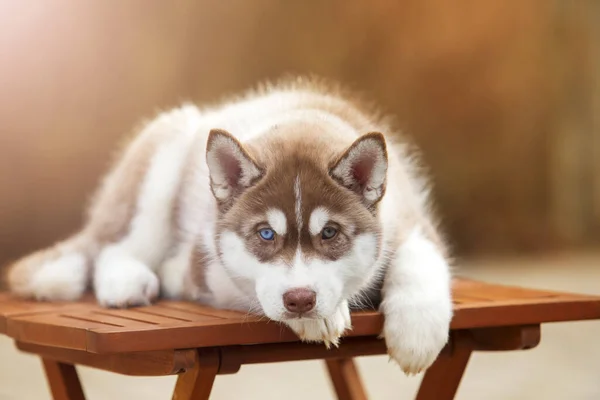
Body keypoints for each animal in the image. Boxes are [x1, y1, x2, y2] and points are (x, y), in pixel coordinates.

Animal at [8, 77, 450, 376]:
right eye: (266, 234)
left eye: (329, 233)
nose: (301, 300)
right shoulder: (205, 265)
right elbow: (252, 290)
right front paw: (319, 317)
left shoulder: (409, 216)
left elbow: (422, 260)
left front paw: (417, 332)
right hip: (163, 156)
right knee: (116, 245)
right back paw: (127, 281)